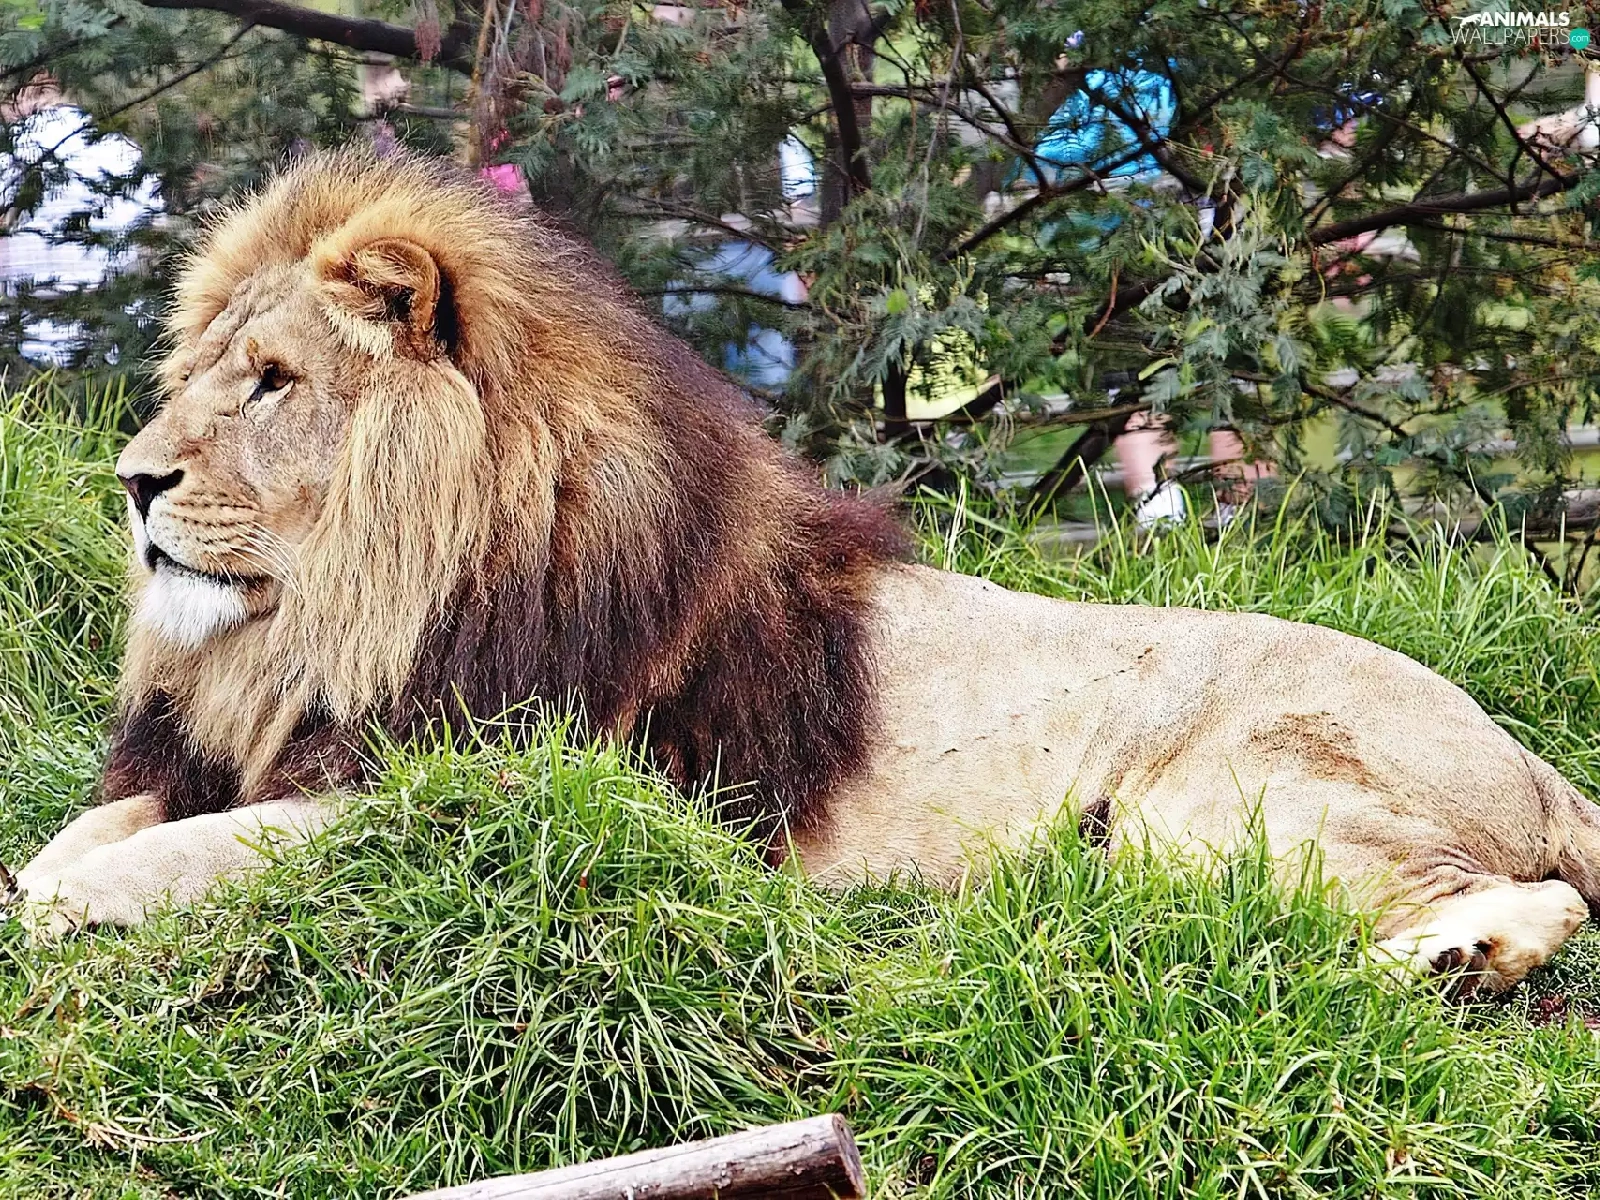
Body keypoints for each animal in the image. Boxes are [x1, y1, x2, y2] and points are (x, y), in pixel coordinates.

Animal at [13, 148, 1600, 995]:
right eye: (197, 378)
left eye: (273, 383)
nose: (131, 481)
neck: (331, 624)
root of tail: (1525, 755)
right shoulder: (237, 751)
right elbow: (86, 833)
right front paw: (53, 875)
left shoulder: (475, 785)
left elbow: (171, 860)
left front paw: (63, 913)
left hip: (1218, 805)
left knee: (1533, 901)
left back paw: (1442, 964)